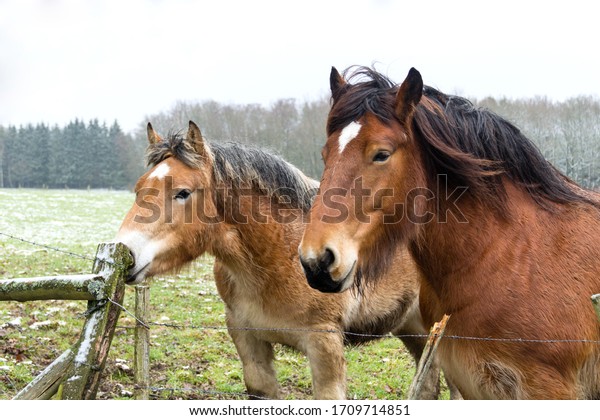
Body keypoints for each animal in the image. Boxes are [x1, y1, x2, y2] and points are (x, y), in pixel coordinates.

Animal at [115, 120, 452, 398]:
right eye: (139, 188)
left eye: (183, 192)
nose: (126, 253)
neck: (276, 258)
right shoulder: (248, 343)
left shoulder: (324, 346)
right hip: (414, 328)